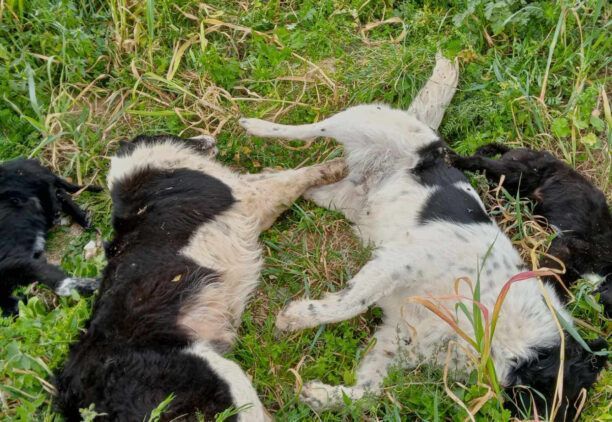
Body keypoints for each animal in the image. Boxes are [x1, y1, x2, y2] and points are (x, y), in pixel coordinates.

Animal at [0, 159, 100, 316]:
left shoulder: (19, 263)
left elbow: (58, 283)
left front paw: (93, 285)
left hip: (41, 192)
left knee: (58, 193)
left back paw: (83, 219)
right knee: (59, 194)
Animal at [55, 134, 346, 418]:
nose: (210, 138)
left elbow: (270, 176)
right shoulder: (248, 198)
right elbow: (295, 177)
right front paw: (336, 166)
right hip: (219, 376)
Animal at [452, 143, 612, 314]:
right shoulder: (570, 246)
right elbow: (550, 274)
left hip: (516, 191)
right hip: (518, 172)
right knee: (482, 161)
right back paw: (454, 158)